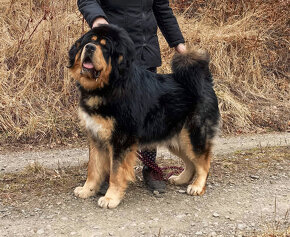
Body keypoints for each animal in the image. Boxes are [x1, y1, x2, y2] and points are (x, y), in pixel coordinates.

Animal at [68, 25, 220, 208]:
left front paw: (111, 198)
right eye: (89, 42)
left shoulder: (121, 141)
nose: (89, 48)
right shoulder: (96, 137)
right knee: (191, 162)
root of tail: (205, 80)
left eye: (104, 47)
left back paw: (197, 186)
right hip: (176, 139)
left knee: (203, 162)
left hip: (192, 136)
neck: (108, 87)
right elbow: (93, 168)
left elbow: (116, 172)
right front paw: (87, 190)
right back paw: (181, 179)